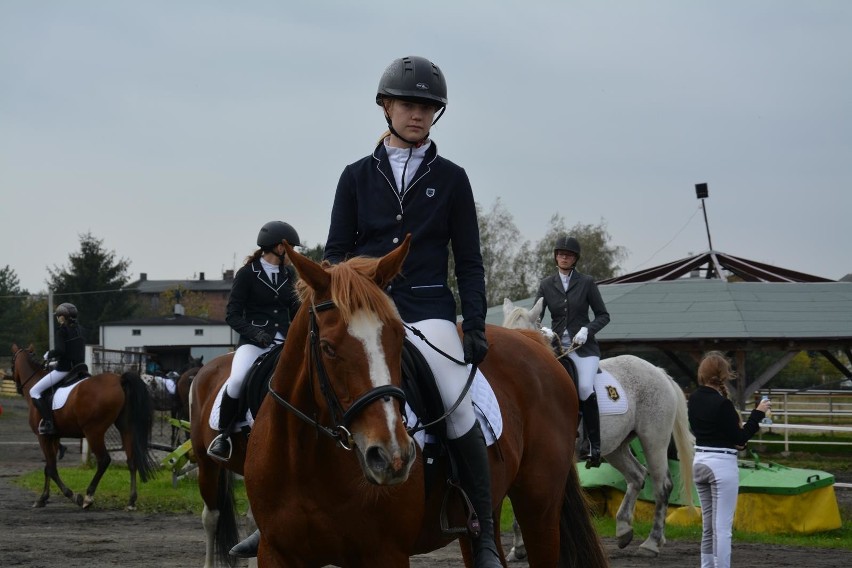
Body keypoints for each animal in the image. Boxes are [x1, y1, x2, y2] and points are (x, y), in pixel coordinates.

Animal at [10, 342, 156, 510]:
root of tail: (119, 380)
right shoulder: (53, 437)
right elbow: (48, 467)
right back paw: (131, 501)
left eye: (12, 362)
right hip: (125, 428)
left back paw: (88, 497)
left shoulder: (43, 437)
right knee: (131, 461)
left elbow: (51, 469)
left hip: (93, 431)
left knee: (104, 460)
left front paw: (72, 496)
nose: (17, 388)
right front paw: (43, 498)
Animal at [236, 240, 608, 568]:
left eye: (399, 338)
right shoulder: (276, 553)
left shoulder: (383, 553)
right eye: (327, 348)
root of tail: (537, 346)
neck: (305, 460)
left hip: (539, 507)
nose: (391, 456)